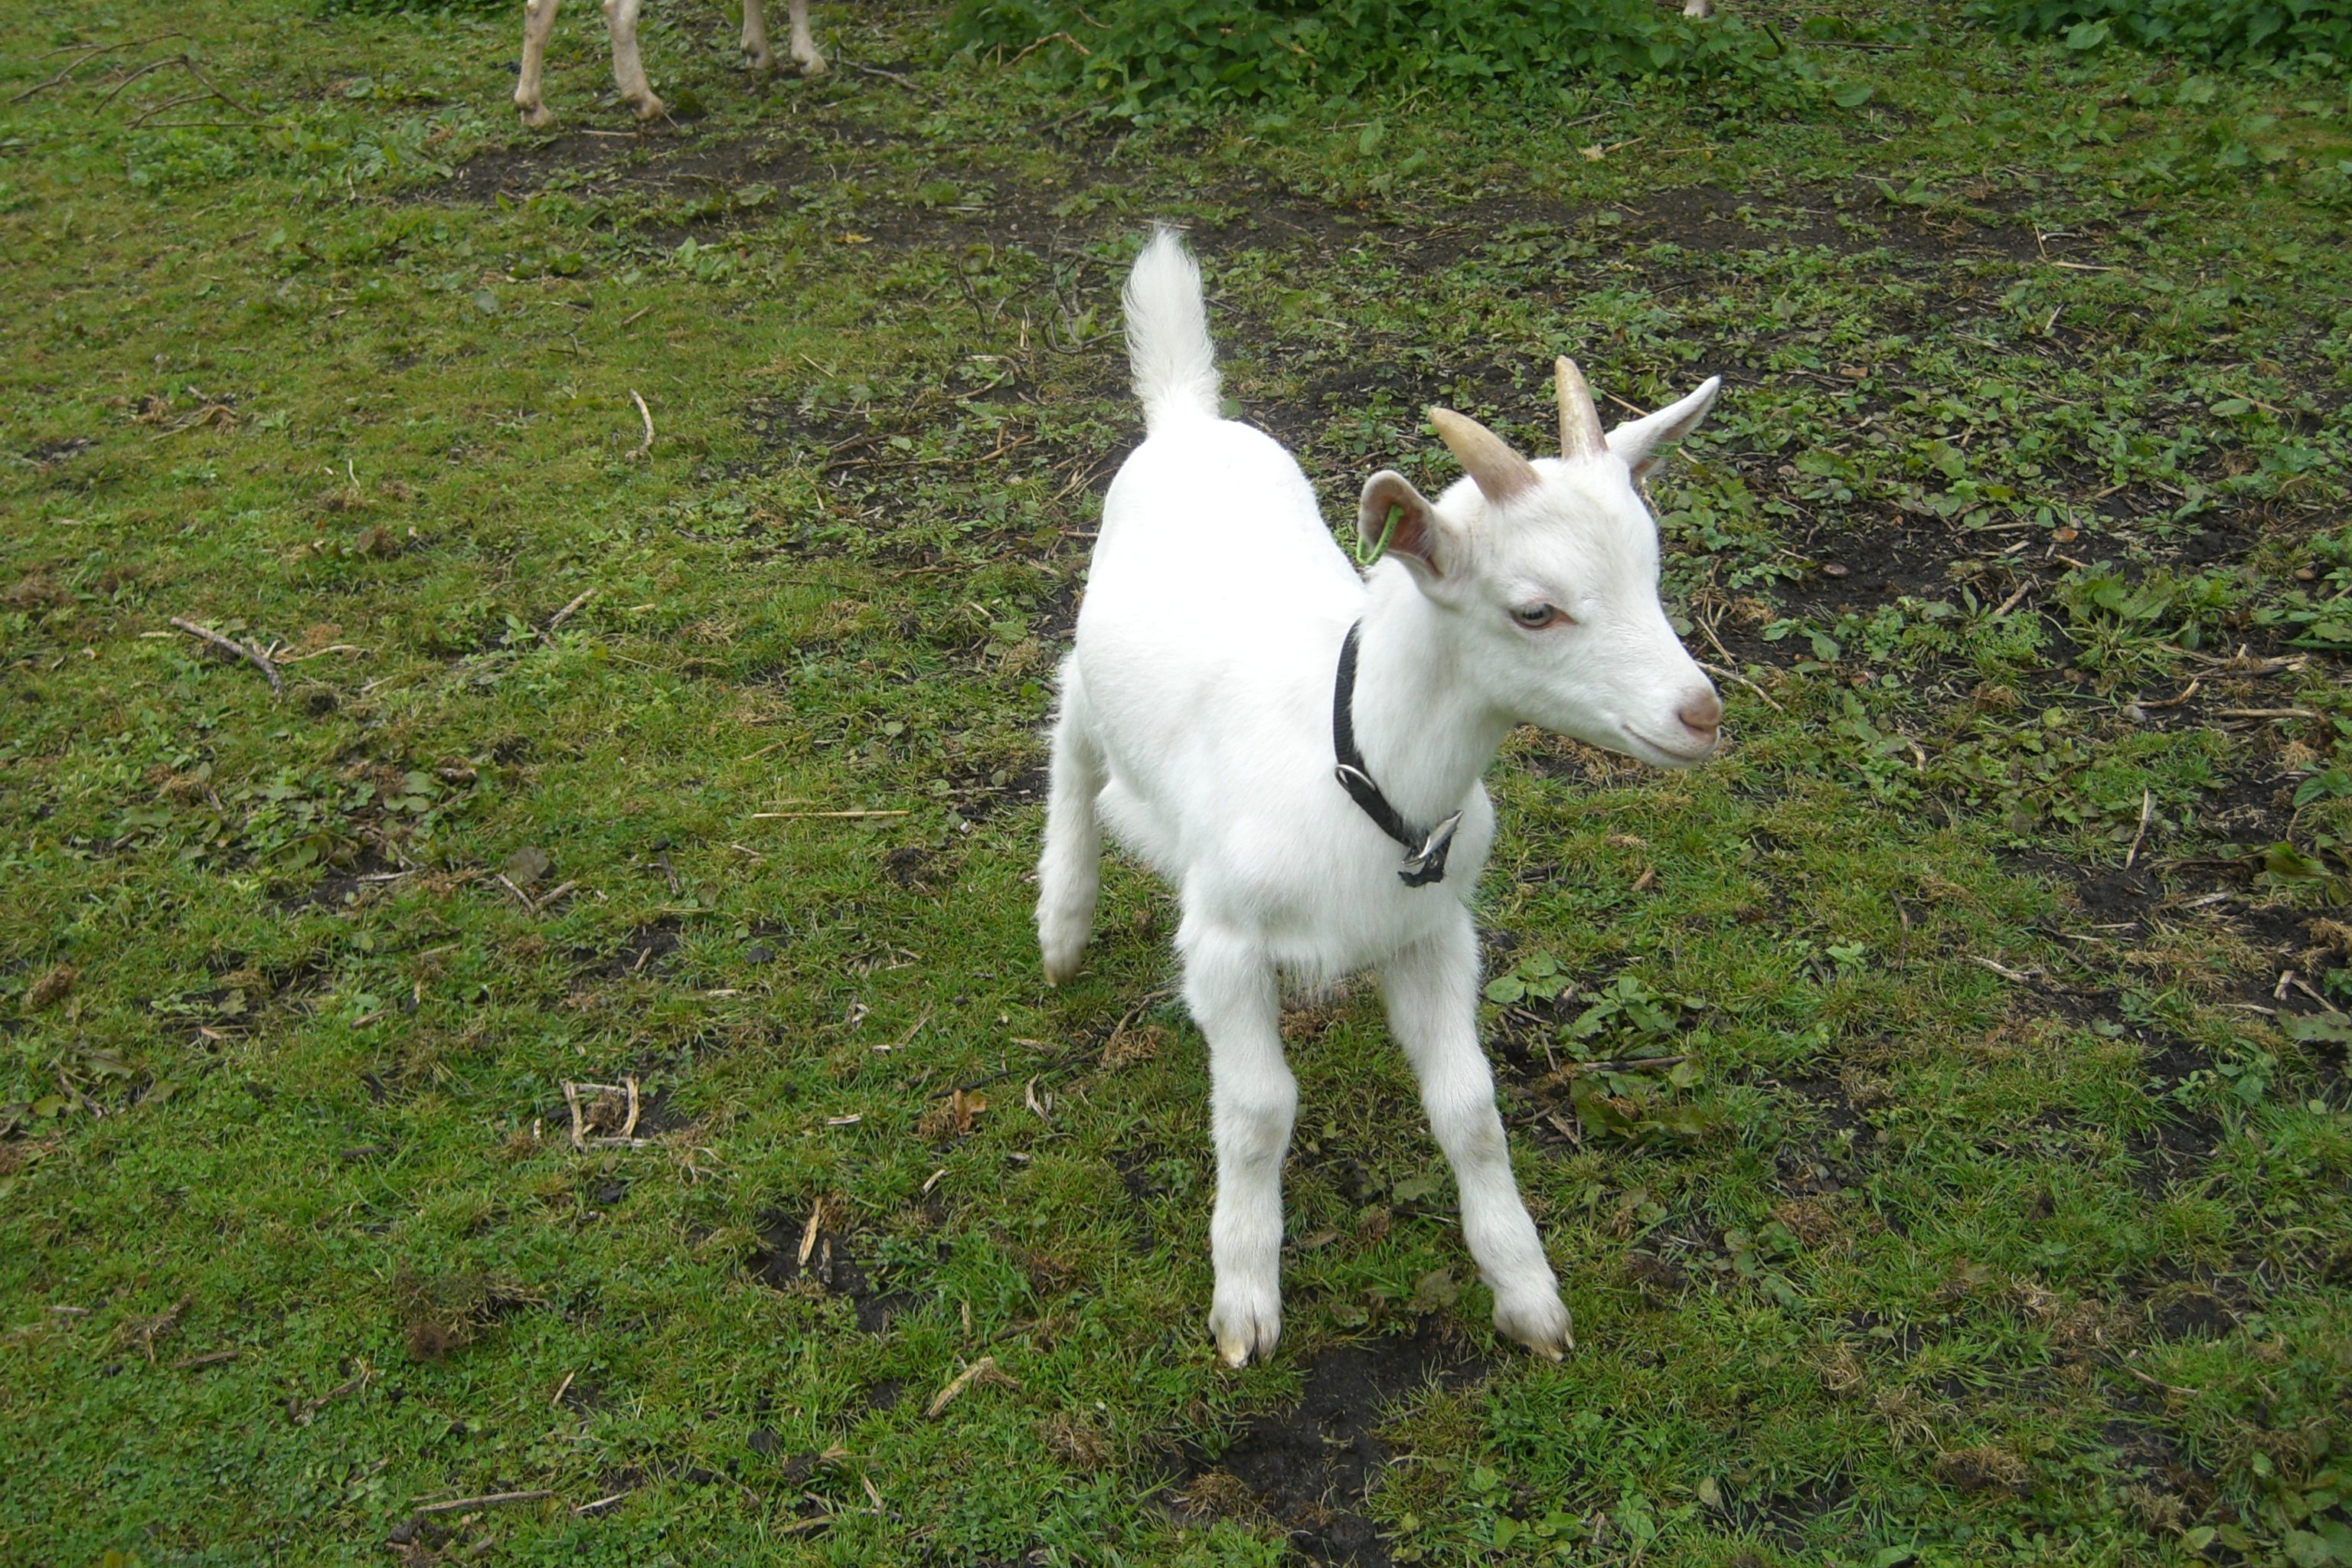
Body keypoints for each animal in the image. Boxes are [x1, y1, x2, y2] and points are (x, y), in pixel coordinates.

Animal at [515, 0, 824, 128]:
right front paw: (806, 57)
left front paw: (757, 51)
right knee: (618, 11)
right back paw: (642, 100)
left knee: (537, 10)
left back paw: (532, 108)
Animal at [1036, 229, 1723, 1367]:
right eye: (1533, 610)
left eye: (1653, 569)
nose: (1701, 713)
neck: (1350, 762)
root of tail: (1186, 416)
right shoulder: (1222, 939)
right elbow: (1259, 1109)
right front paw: (1245, 1298)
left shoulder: (1434, 927)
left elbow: (1471, 1107)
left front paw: (1527, 1292)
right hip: (1097, 681)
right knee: (1071, 731)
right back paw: (1062, 917)